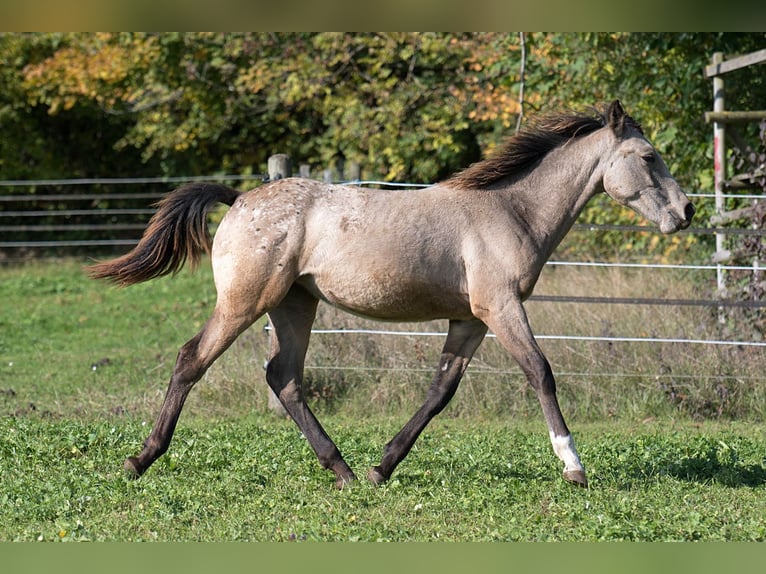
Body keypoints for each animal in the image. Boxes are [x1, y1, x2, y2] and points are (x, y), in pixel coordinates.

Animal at [89, 100, 694, 489]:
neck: (508, 210)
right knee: (192, 359)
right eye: (648, 156)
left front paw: (383, 468)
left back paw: (344, 472)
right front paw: (574, 468)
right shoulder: (500, 307)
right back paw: (140, 461)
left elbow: (440, 392)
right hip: (245, 303)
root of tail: (238, 198)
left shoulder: (471, 320)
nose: (686, 212)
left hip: (294, 305)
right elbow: (540, 373)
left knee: (284, 378)